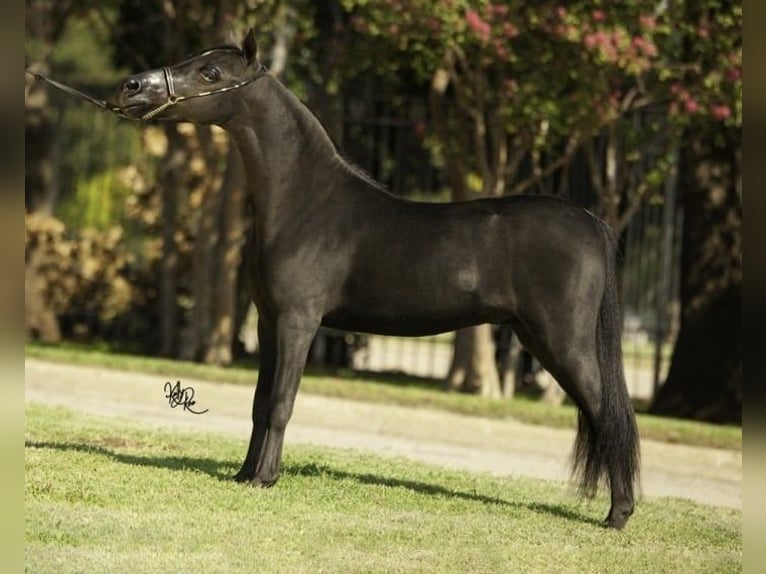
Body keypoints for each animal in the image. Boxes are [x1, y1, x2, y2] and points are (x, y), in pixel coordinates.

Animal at [109, 28, 640, 532]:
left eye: (212, 72)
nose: (132, 86)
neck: (306, 202)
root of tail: (591, 222)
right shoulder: (267, 323)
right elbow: (260, 403)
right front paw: (245, 474)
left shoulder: (299, 322)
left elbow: (281, 403)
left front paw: (265, 478)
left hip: (563, 341)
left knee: (610, 415)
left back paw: (618, 515)